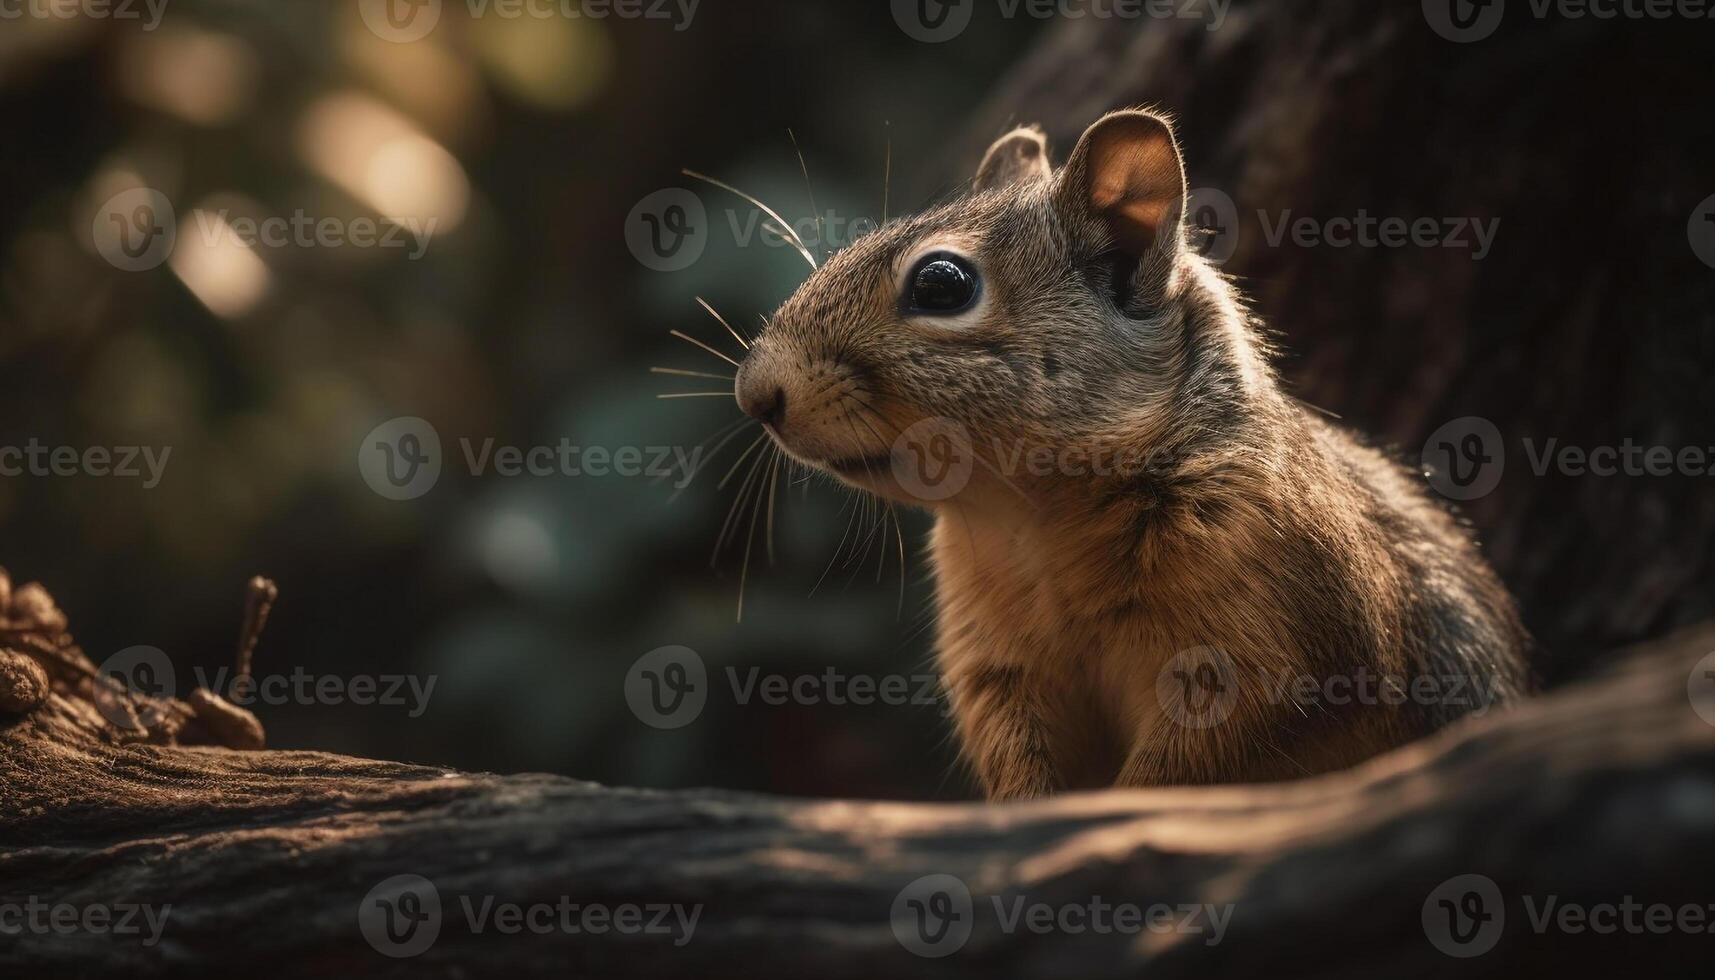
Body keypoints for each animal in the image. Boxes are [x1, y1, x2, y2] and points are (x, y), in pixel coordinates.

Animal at [730, 109, 1536, 796]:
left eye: (941, 284)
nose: (756, 393)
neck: (1033, 520)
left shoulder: (1268, 656)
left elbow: (1198, 762)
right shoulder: (1000, 670)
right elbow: (1017, 758)